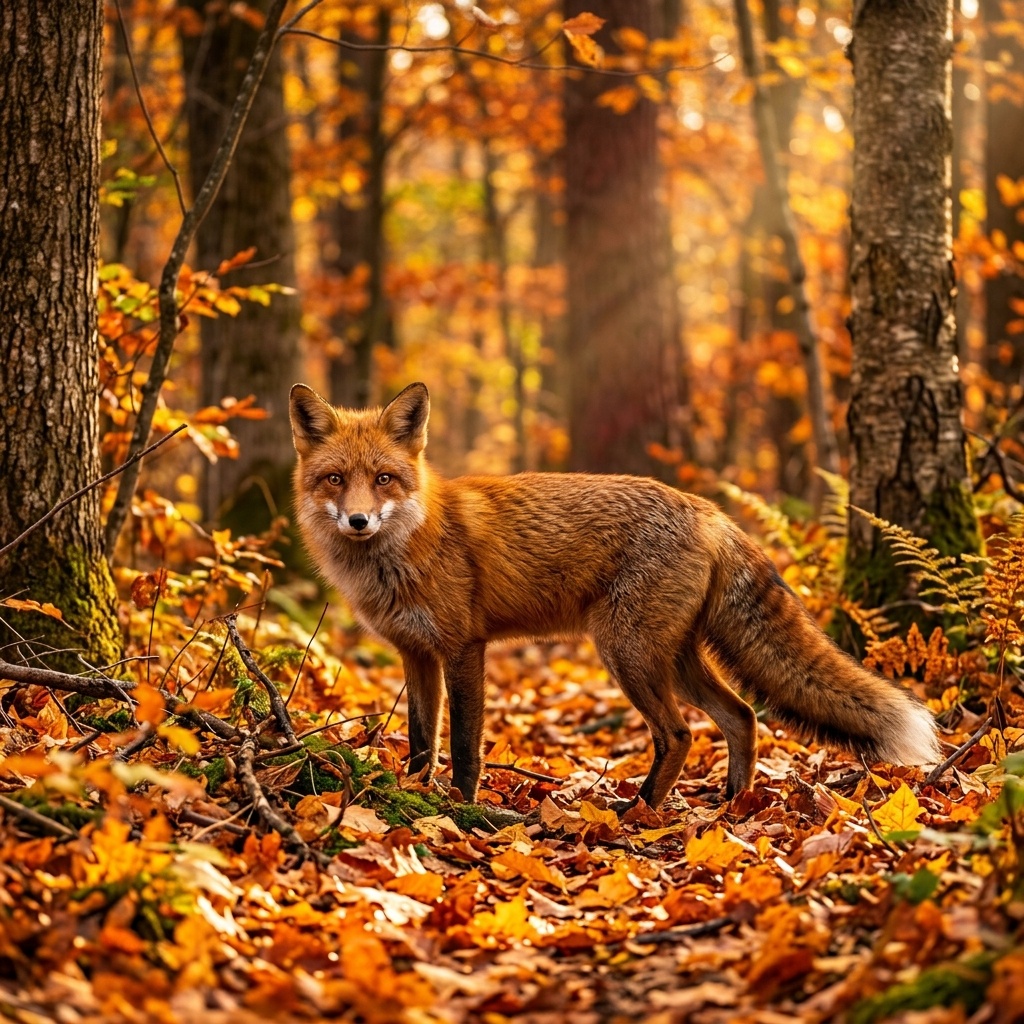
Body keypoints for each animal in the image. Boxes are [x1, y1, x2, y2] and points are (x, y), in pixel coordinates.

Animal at [289, 381, 942, 809]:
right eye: (335, 479)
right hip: (672, 659)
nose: (358, 521)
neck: (404, 550)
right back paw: (733, 805)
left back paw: (641, 810)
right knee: (742, 715)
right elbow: (422, 742)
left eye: (384, 479)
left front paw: (461, 810)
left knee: (679, 734)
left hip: (628, 654)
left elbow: (465, 747)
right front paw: (413, 795)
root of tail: (709, 511)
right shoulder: (417, 653)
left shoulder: (463, 648)